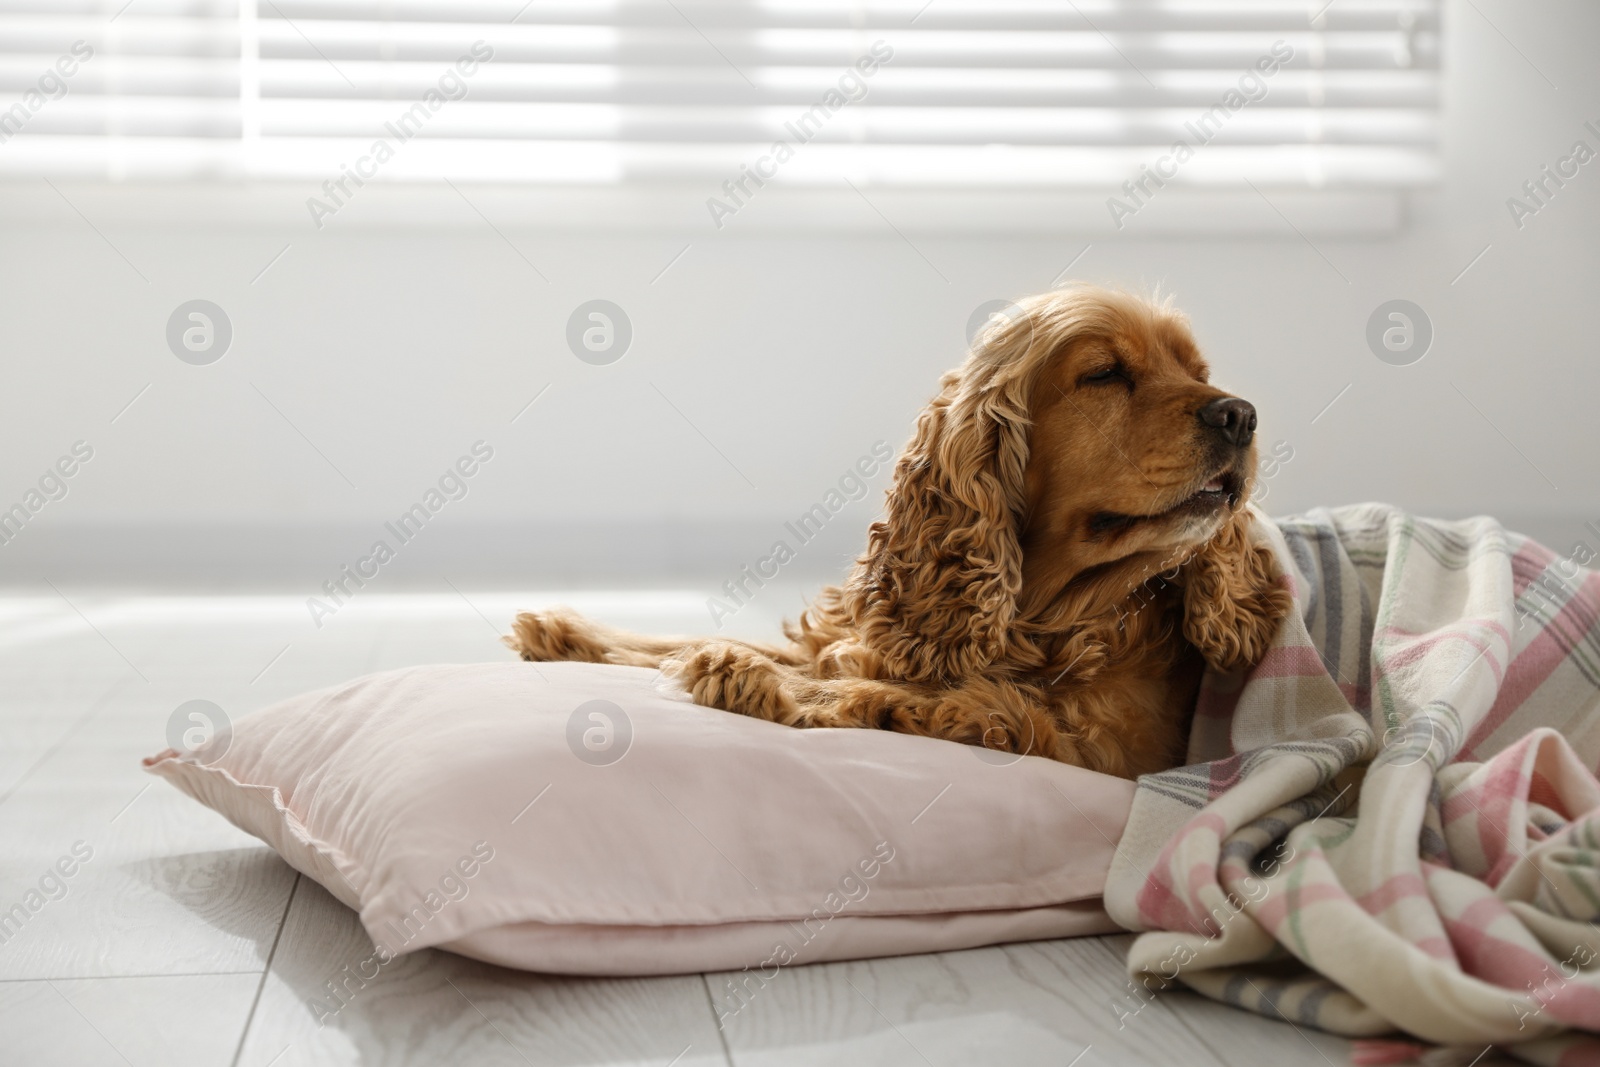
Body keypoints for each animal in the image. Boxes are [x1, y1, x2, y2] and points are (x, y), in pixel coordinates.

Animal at [505, 287, 1292, 780]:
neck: (1039, 613)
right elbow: (699, 638)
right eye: (1105, 374)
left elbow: (949, 703)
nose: (1241, 414)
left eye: (1199, 372)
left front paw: (762, 682)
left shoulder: (1106, 749)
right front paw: (569, 630)